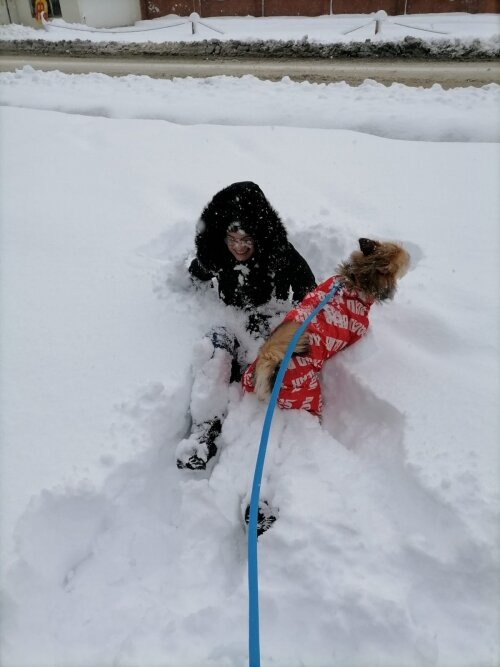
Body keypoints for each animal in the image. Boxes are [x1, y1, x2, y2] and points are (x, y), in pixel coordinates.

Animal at [242, 240, 410, 414]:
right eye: (403, 258)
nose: (409, 254)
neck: (356, 280)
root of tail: (267, 360)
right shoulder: (357, 332)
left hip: (248, 379)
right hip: (304, 393)